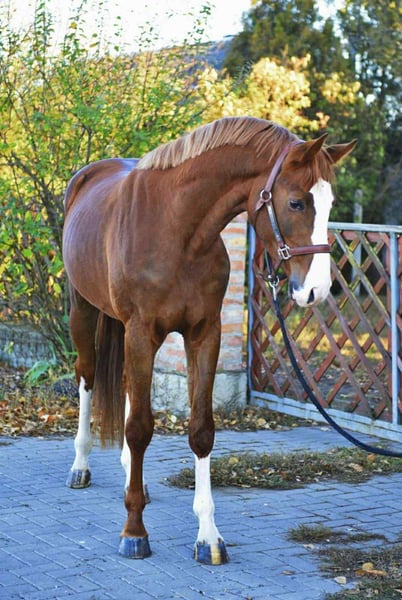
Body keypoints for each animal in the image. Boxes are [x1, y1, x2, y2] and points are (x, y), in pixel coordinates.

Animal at [62, 116, 356, 564]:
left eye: (329, 204)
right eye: (296, 203)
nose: (317, 290)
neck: (177, 230)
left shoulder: (204, 334)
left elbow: (200, 429)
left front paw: (208, 537)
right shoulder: (142, 333)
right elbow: (140, 427)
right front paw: (134, 532)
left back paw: (133, 477)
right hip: (84, 310)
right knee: (87, 377)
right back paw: (80, 466)